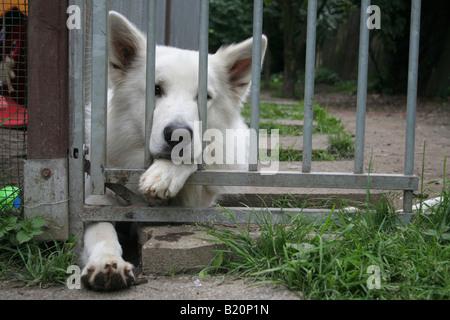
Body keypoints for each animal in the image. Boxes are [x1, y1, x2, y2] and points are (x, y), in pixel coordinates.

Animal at [81, 11, 268, 290]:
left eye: (204, 97)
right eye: (156, 89)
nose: (178, 135)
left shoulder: (194, 204)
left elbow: (197, 156)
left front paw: (165, 173)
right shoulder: (97, 197)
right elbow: (100, 228)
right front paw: (106, 261)